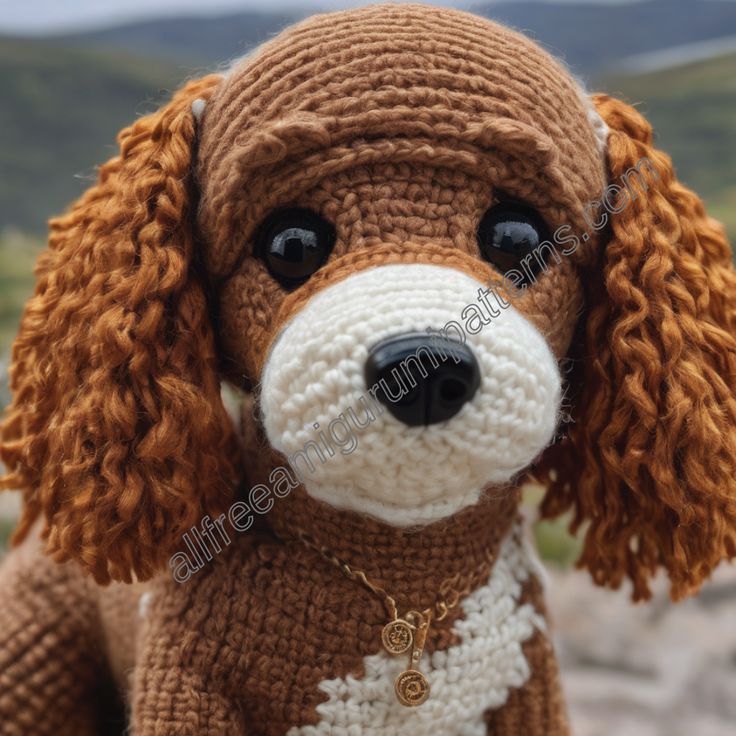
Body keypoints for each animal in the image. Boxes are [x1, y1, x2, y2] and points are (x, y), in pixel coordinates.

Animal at [1, 2, 736, 732]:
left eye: (518, 236)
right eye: (291, 243)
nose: (424, 368)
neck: (402, 580)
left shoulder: (527, 681)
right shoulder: (188, 680)